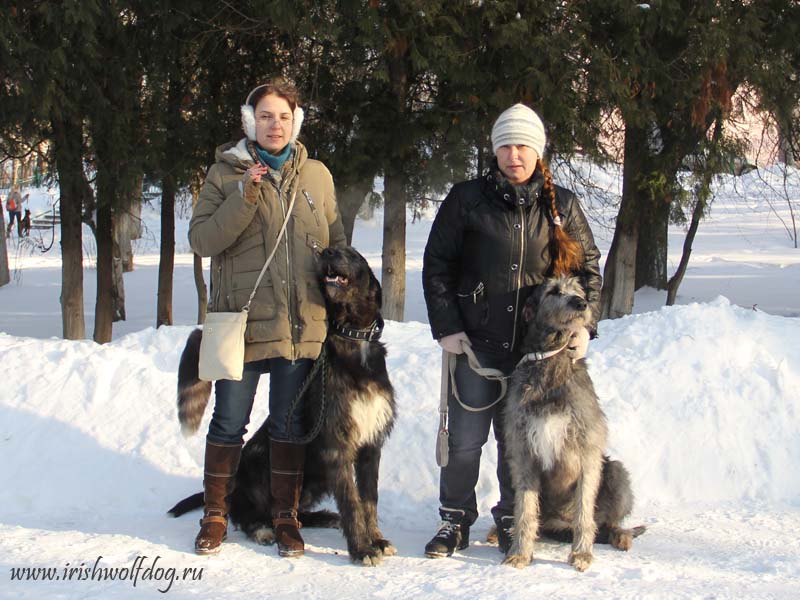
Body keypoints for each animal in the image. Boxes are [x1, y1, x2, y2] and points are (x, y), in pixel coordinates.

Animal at [169, 246, 396, 564]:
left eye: (352, 254)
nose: (327, 251)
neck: (354, 338)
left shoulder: (370, 446)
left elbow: (369, 500)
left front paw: (377, 540)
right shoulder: (336, 443)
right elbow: (352, 501)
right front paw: (362, 548)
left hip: (312, 480)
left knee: (292, 509)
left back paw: (318, 518)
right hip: (256, 470)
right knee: (246, 511)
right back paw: (263, 529)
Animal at [504, 276, 640, 572]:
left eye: (578, 290)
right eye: (553, 291)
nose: (581, 303)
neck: (550, 362)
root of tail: (558, 524)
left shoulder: (587, 450)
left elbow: (584, 510)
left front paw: (581, 554)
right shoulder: (524, 452)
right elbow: (525, 510)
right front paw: (520, 552)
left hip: (616, 472)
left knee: (608, 521)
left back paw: (621, 536)